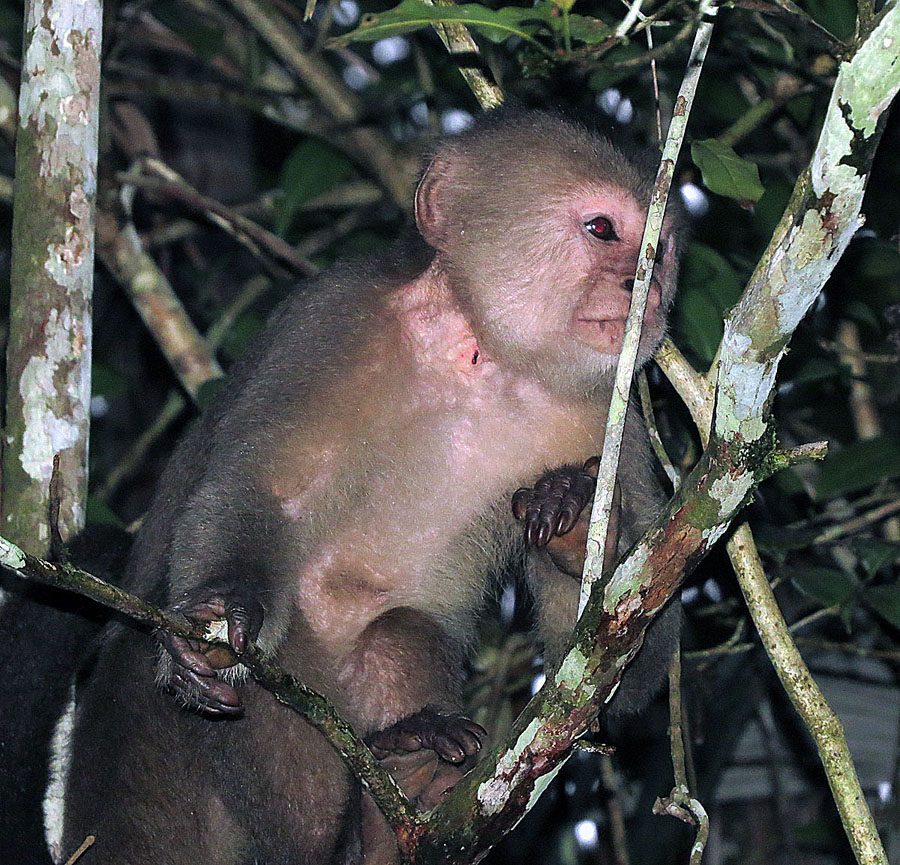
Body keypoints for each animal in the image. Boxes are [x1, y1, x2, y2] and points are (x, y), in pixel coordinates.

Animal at [51, 109, 683, 865]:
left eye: (660, 250)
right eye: (603, 230)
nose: (645, 289)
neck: (484, 355)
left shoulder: (609, 408)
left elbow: (597, 685)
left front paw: (582, 520)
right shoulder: (334, 318)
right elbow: (263, 492)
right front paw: (222, 608)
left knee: (397, 632)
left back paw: (399, 795)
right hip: (152, 768)